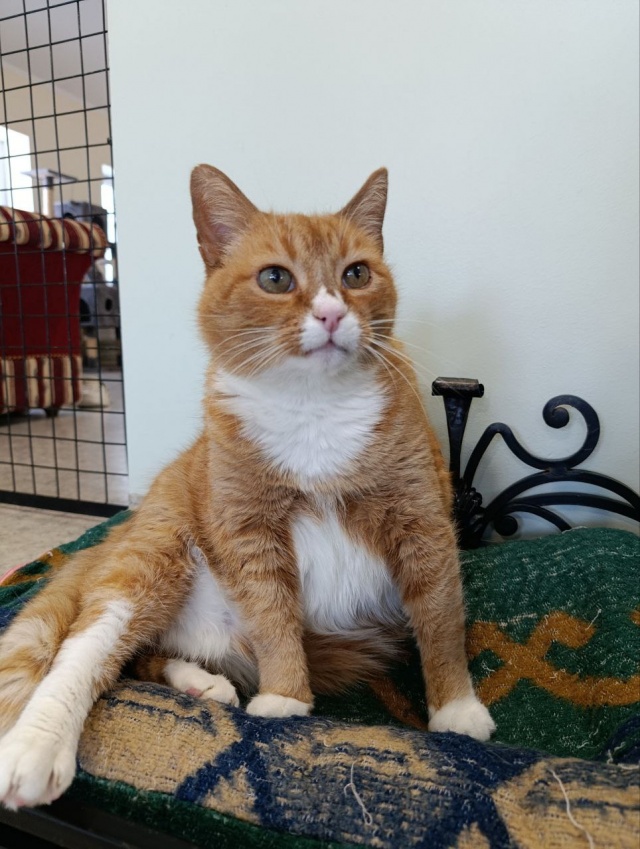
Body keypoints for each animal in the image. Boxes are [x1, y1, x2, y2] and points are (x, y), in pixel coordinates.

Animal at [0, 165, 495, 810]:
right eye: (275, 278)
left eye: (356, 274)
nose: (331, 314)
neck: (312, 410)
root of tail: (111, 540)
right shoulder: (248, 532)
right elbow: (273, 616)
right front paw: (285, 699)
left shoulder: (422, 522)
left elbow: (440, 619)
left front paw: (456, 709)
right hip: (152, 558)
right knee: (86, 651)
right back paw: (35, 749)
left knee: (145, 659)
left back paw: (201, 683)